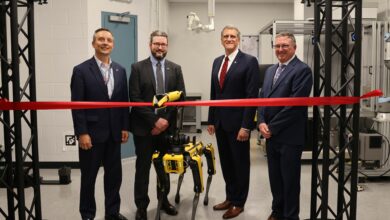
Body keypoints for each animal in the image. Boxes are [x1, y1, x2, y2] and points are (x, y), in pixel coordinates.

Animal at [151, 91, 216, 220]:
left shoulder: (193, 160)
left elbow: (197, 190)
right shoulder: (159, 158)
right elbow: (163, 186)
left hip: (201, 151)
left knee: (210, 168)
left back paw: (205, 199)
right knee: (181, 176)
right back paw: (177, 197)